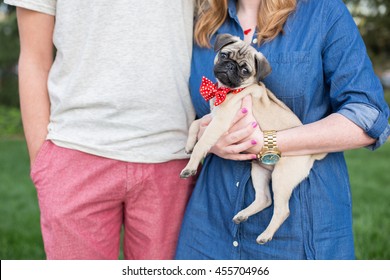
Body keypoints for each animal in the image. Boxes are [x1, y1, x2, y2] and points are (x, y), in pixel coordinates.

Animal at [181, 32, 326, 244]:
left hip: (281, 177)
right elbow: (196, 124)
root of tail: (312, 155)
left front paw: (190, 165)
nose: (230, 66)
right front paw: (189, 144)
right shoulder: (213, 117)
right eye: (224, 55)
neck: (225, 91)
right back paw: (243, 215)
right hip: (259, 170)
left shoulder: (220, 123)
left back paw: (265, 235)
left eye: (244, 70)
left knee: (282, 210)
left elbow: (203, 142)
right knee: (264, 199)